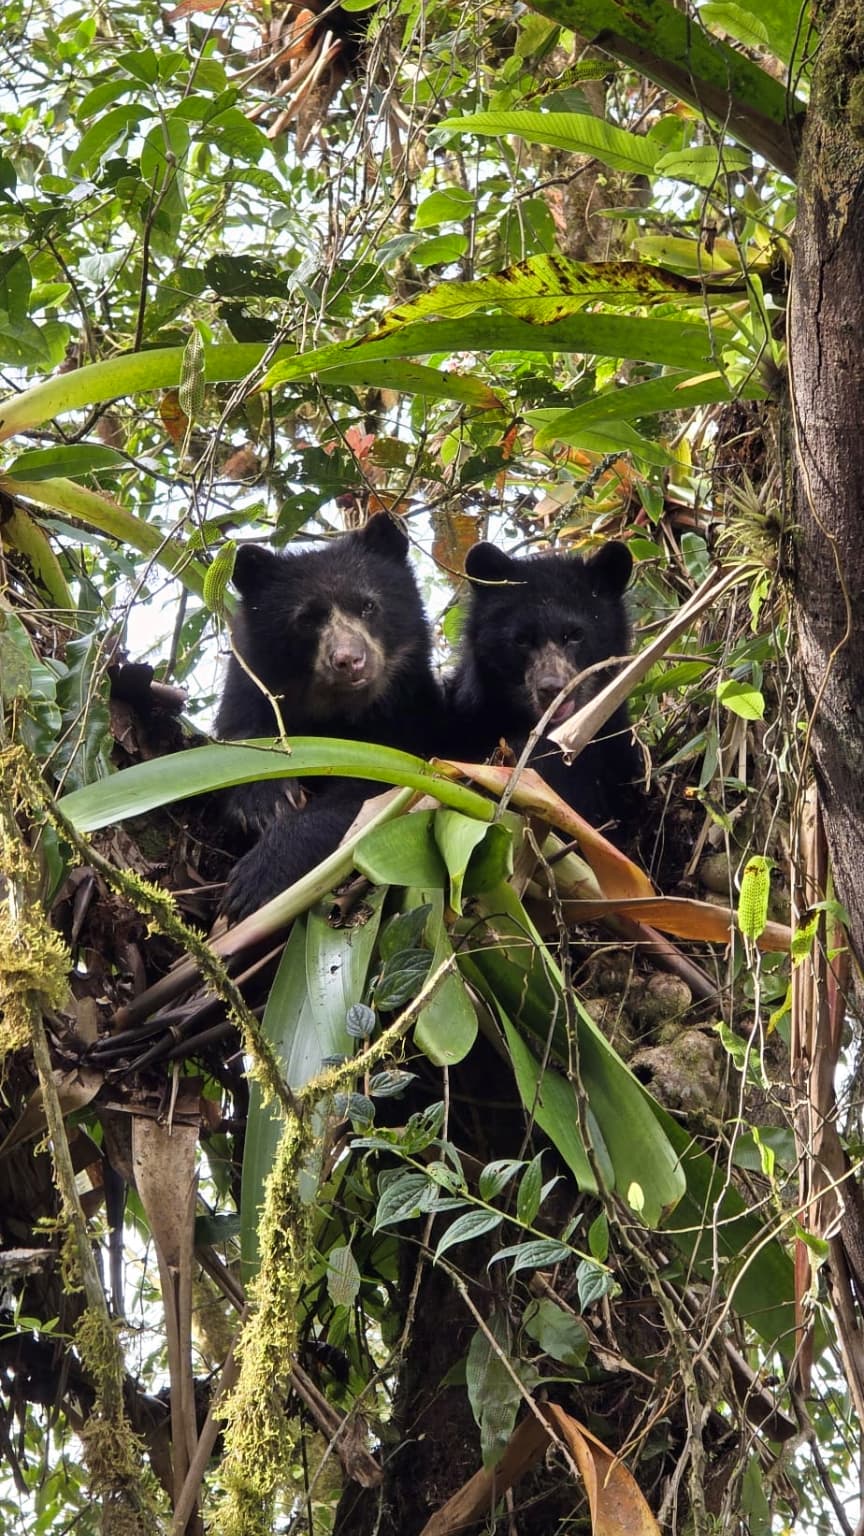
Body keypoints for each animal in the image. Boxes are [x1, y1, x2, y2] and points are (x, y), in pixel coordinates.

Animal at [215, 515, 442, 920]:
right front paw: (262, 802)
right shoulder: (249, 689)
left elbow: (371, 791)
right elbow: (238, 740)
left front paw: (255, 880)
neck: (336, 709)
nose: (349, 660)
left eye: (368, 606)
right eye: (306, 619)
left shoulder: (408, 725)